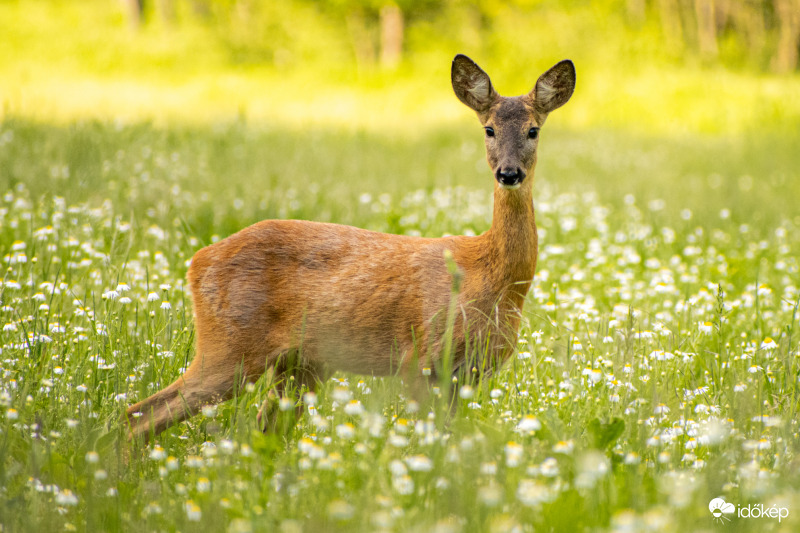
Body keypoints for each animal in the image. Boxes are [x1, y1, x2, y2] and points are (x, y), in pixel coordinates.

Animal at [125, 54, 576, 438]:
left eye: (533, 130)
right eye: (489, 129)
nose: (509, 173)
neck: (492, 278)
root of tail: (196, 262)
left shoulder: (470, 375)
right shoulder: (420, 357)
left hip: (298, 365)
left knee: (260, 429)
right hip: (229, 346)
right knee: (139, 413)